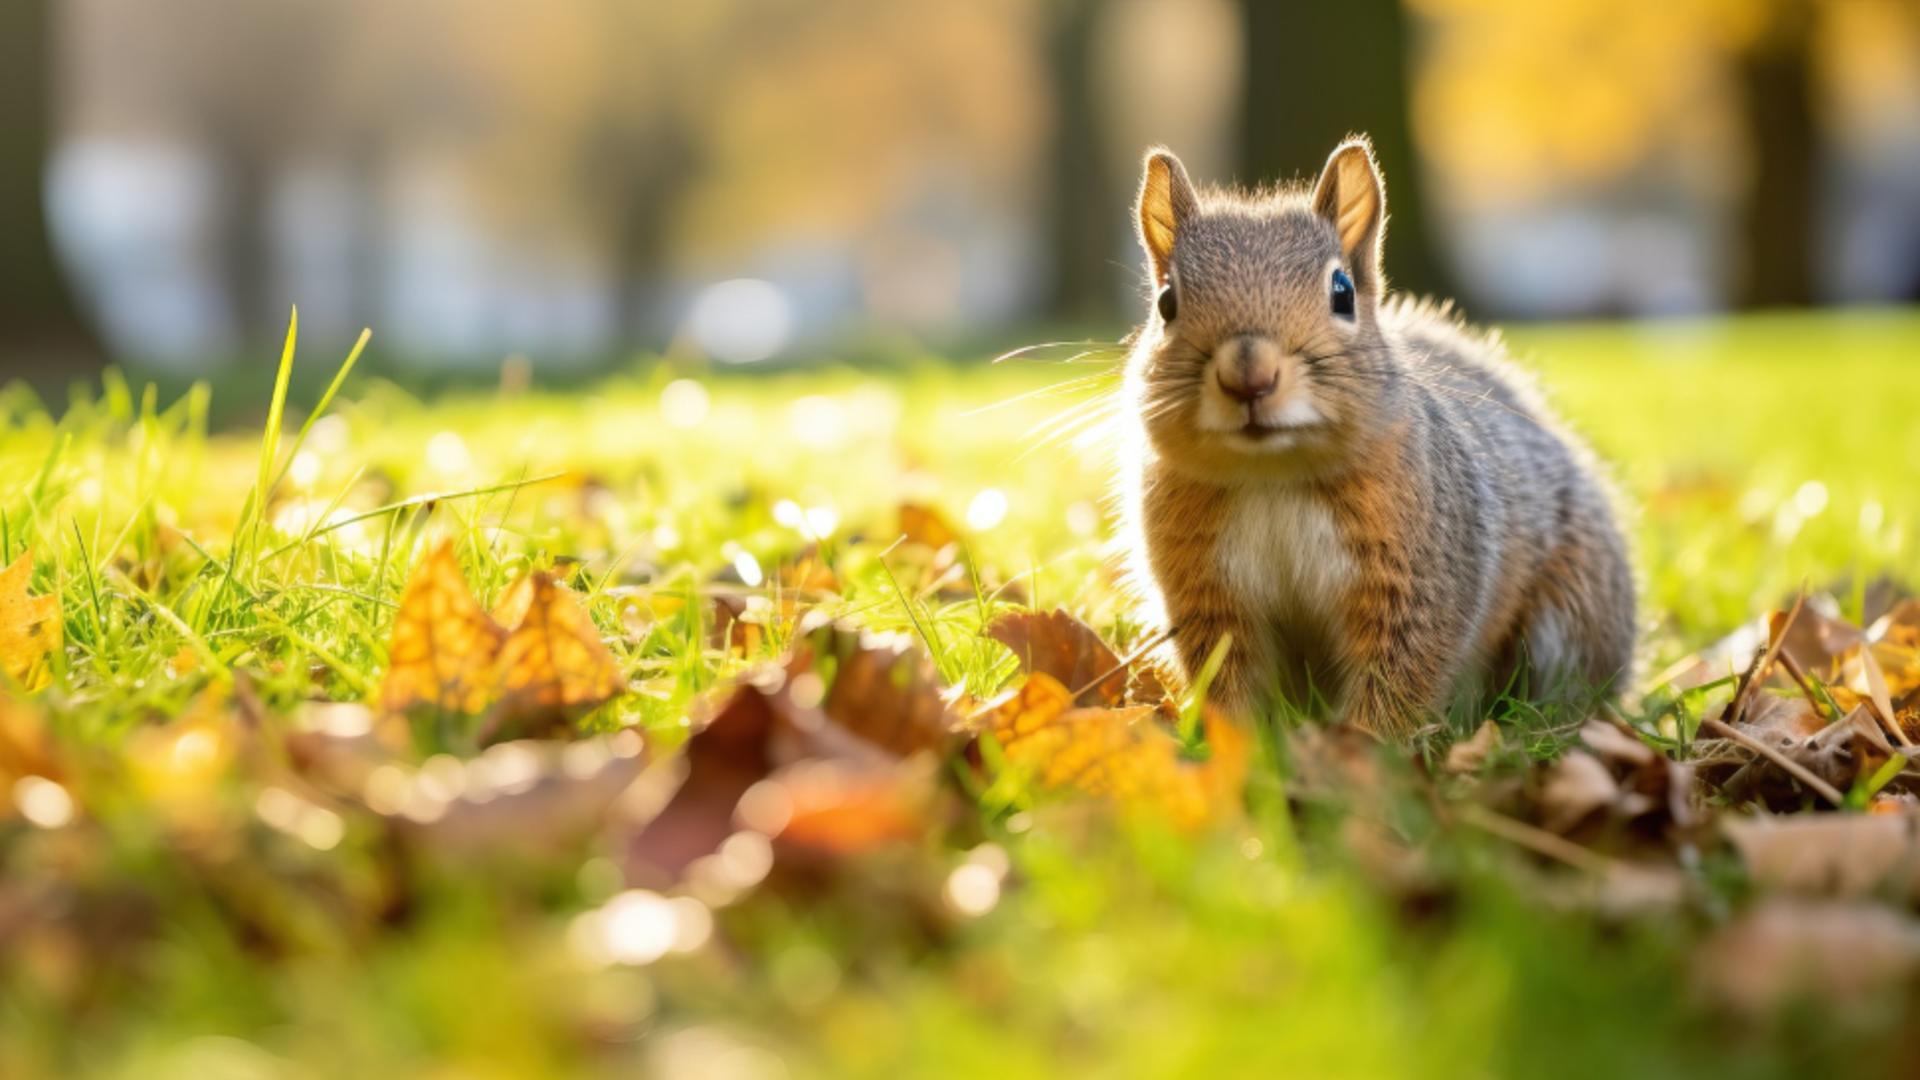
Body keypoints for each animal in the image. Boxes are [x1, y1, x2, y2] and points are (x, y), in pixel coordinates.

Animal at [1121, 132, 1635, 737]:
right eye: (1166, 302)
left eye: (1342, 292)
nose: (1249, 375)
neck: (1272, 474)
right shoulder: (1206, 593)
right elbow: (1229, 681)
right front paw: (1240, 747)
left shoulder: (1419, 579)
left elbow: (1403, 674)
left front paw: (1362, 749)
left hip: (1569, 619)